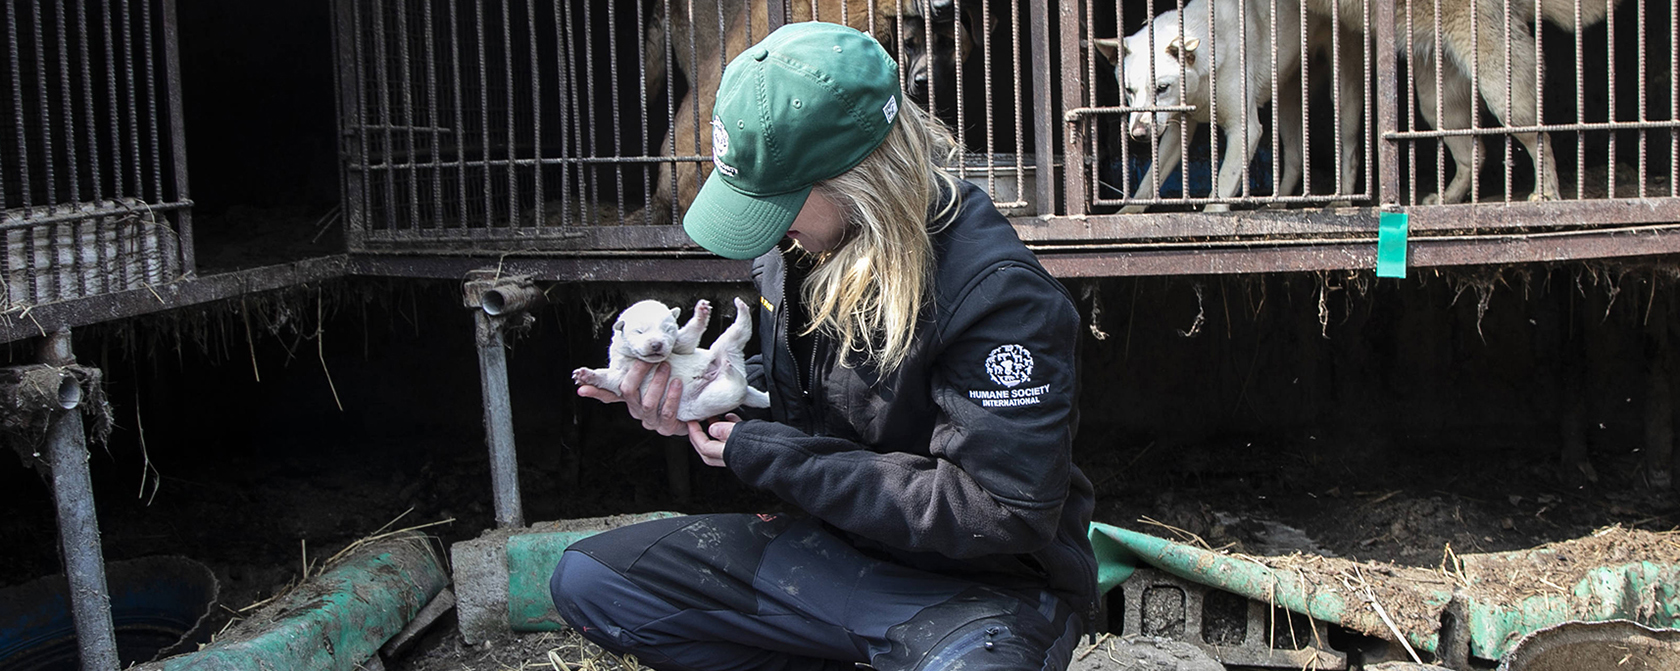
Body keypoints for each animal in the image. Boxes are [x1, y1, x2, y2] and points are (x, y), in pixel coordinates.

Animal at [571, 297, 769, 423]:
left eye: (667, 329)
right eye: (639, 331)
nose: (656, 344)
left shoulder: (680, 345)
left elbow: (687, 337)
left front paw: (701, 313)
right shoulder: (620, 374)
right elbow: (608, 377)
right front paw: (586, 375)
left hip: (722, 354)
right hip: (708, 398)